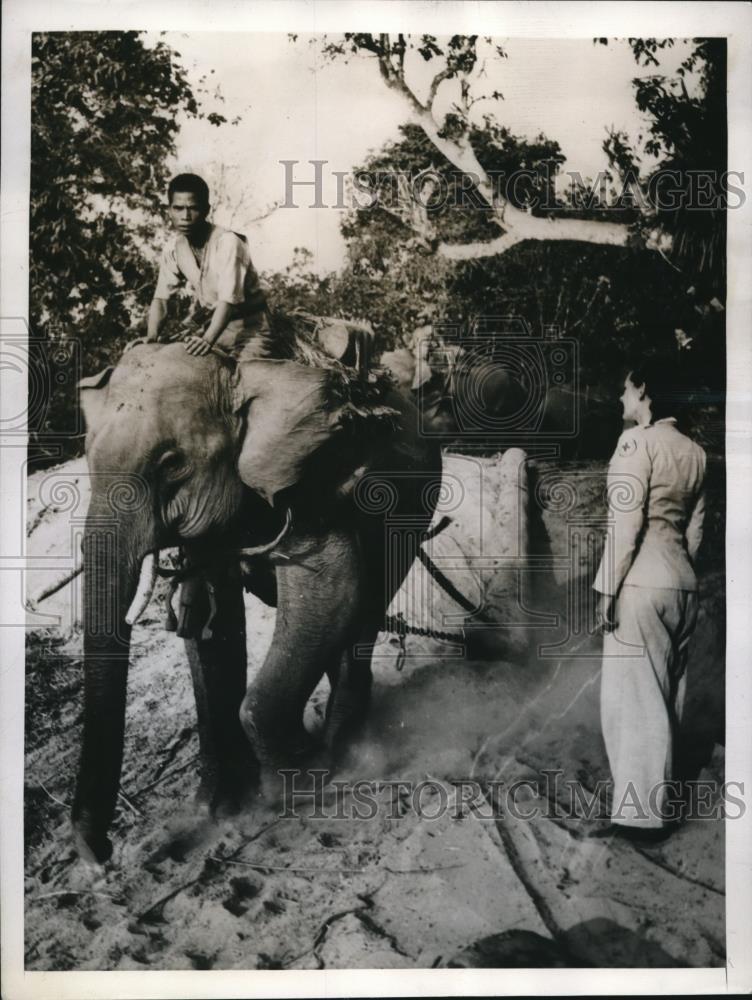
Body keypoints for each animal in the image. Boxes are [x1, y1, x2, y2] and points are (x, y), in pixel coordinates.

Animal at [72, 344, 440, 860]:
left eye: (171, 463)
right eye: (86, 457)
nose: (100, 854)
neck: (237, 376)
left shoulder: (313, 485)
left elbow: (331, 592)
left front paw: (299, 778)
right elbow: (208, 627)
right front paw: (218, 809)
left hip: (410, 509)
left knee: (365, 611)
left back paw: (350, 755)